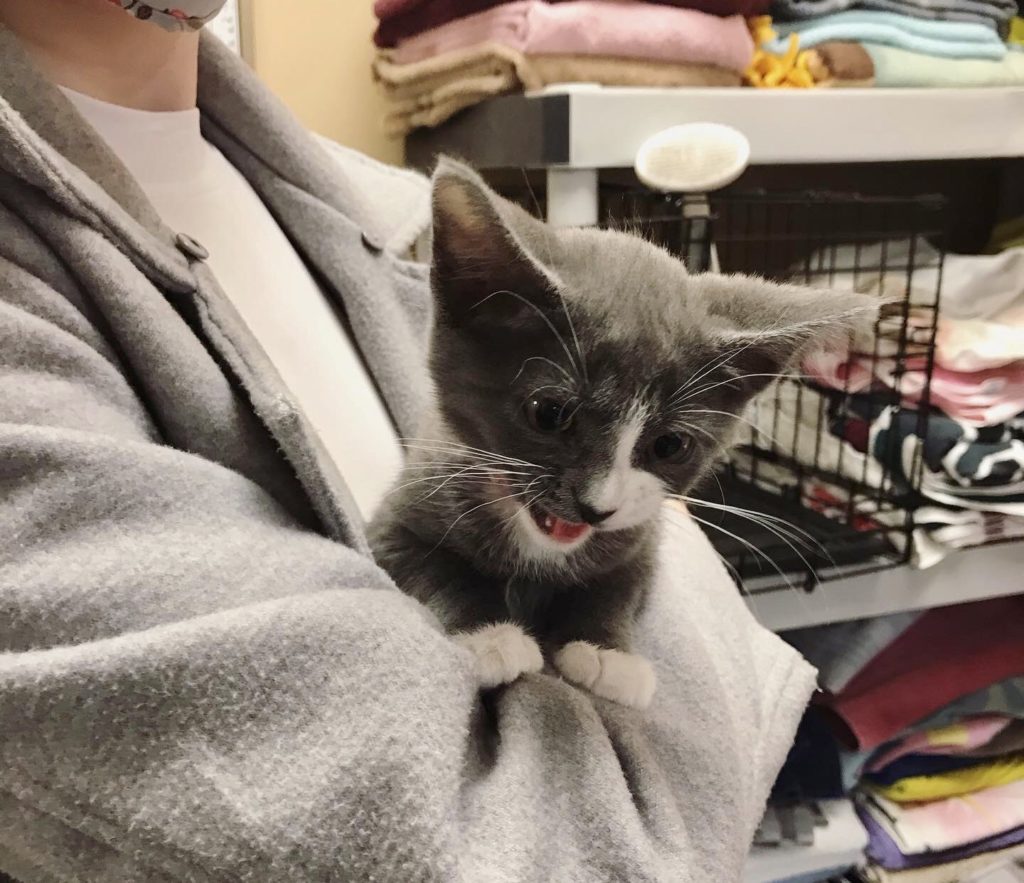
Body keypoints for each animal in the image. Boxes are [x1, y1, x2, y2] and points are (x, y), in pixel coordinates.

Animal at [372, 158, 876, 712]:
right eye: (549, 413)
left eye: (670, 446)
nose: (597, 508)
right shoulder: (405, 506)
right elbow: (428, 563)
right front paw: (489, 636)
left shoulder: (641, 537)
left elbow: (620, 583)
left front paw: (604, 651)